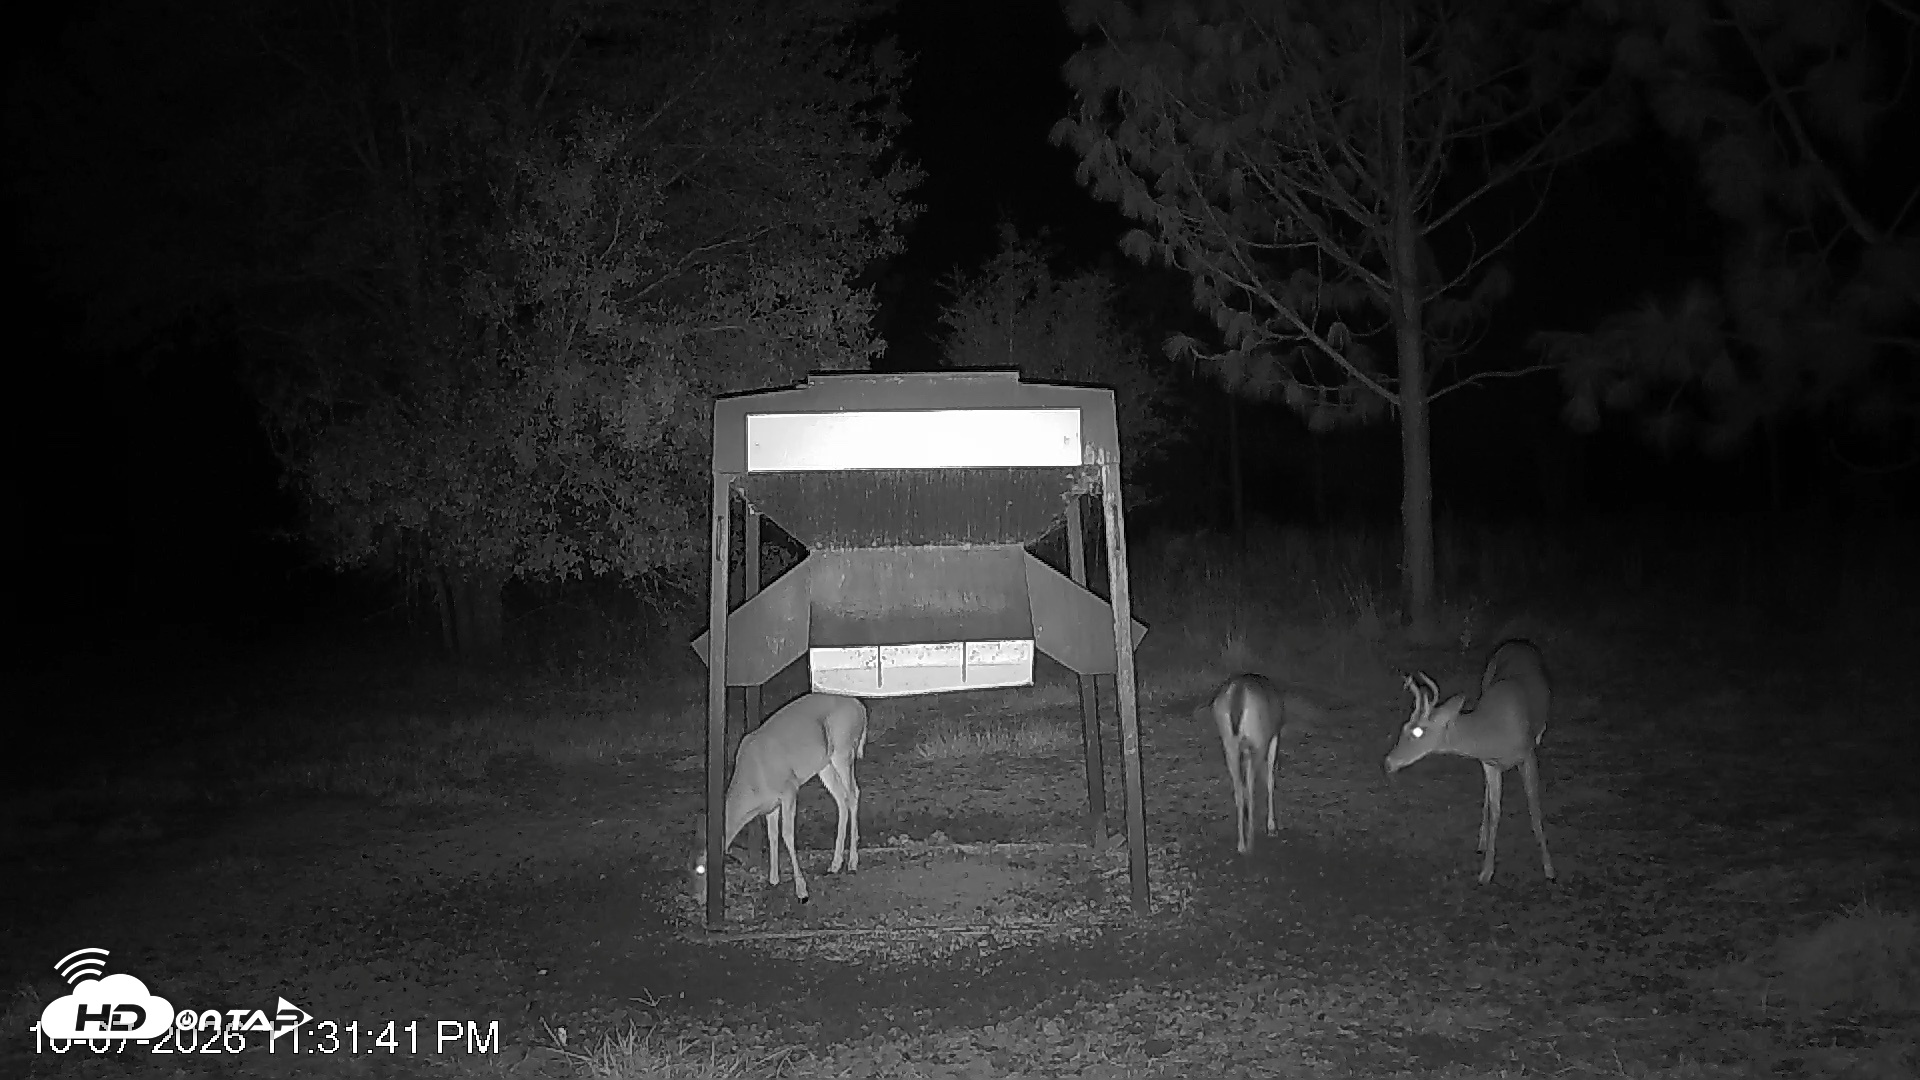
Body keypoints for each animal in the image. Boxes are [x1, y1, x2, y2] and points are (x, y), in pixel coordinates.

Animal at [690, 692, 868, 905]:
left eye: (702, 869)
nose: (697, 898)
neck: (754, 783)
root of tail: (860, 707)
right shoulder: (771, 804)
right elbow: (772, 835)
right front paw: (773, 878)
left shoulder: (789, 788)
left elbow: (787, 835)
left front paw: (801, 890)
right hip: (824, 764)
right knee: (841, 798)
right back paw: (835, 863)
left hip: (844, 749)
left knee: (854, 794)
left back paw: (852, 862)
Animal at [1385, 639, 1555, 885]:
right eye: (1404, 727)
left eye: (1417, 731)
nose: (1389, 762)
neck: (1493, 734)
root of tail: (1518, 642)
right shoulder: (1489, 764)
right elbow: (1495, 811)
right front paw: (1486, 871)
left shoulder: (1528, 754)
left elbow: (1535, 809)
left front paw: (1549, 868)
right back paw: (1481, 842)